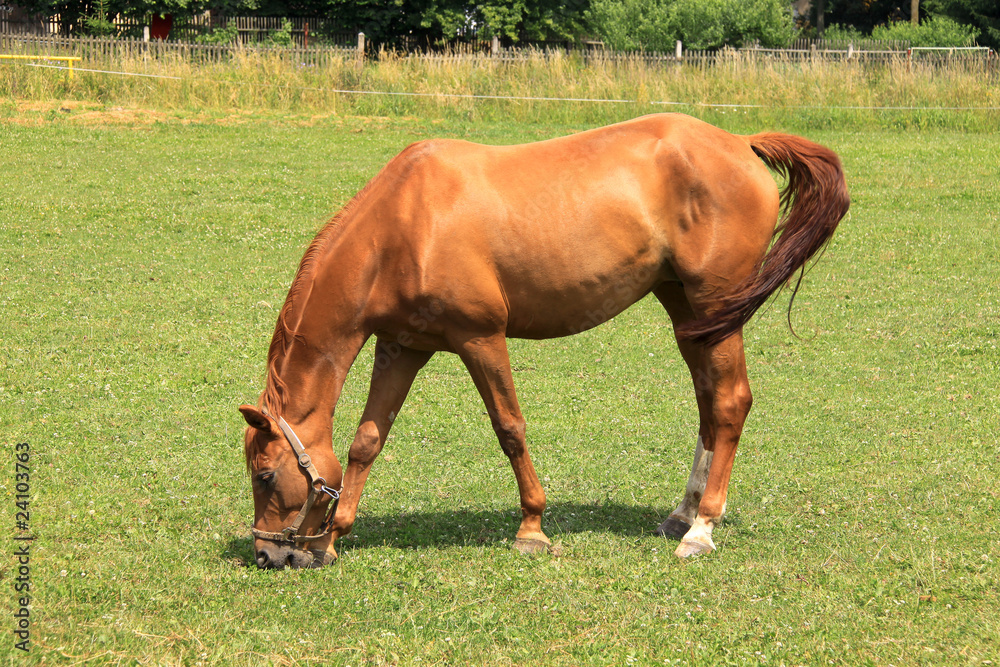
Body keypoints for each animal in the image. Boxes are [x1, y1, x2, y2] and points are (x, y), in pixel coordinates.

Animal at [239, 113, 849, 569]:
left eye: (265, 474)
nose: (269, 554)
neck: (406, 225)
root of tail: (743, 144)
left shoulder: (481, 338)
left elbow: (510, 429)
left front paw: (531, 527)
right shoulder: (402, 347)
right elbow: (367, 440)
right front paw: (333, 538)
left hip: (714, 307)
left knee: (729, 403)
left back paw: (701, 529)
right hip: (687, 311)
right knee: (708, 405)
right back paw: (682, 512)